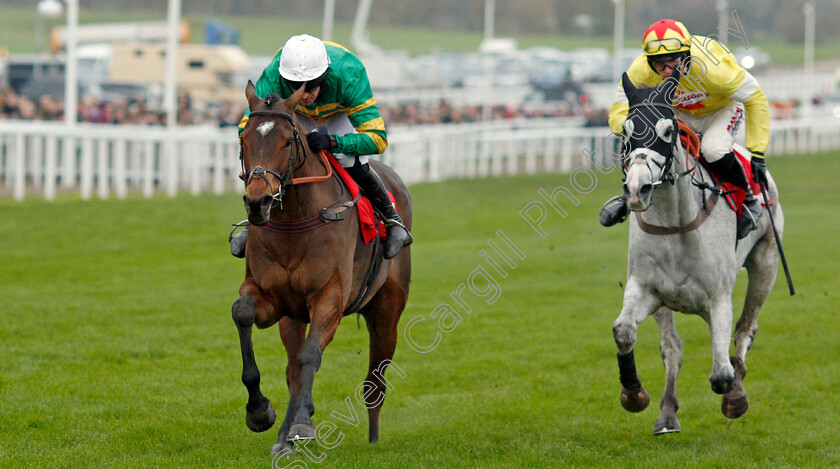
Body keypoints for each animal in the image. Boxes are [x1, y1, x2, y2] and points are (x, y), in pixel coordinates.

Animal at [231, 80, 412, 454]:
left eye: (288, 140)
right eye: (245, 139)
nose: (258, 202)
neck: (292, 223)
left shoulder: (330, 296)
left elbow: (310, 356)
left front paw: (299, 425)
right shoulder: (270, 298)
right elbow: (242, 314)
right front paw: (260, 412)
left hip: (387, 312)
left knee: (375, 381)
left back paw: (372, 438)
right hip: (292, 317)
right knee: (292, 368)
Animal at [612, 71, 780, 434]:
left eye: (668, 131)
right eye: (626, 131)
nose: (637, 190)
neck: (677, 226)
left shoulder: (718, 298)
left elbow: (721, 375)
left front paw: (734, 397)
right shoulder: (647, 289)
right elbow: (625, 332)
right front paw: (634, 394)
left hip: (766, 264)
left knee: (745, 329)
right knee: (672, 347)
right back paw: (666, 413)